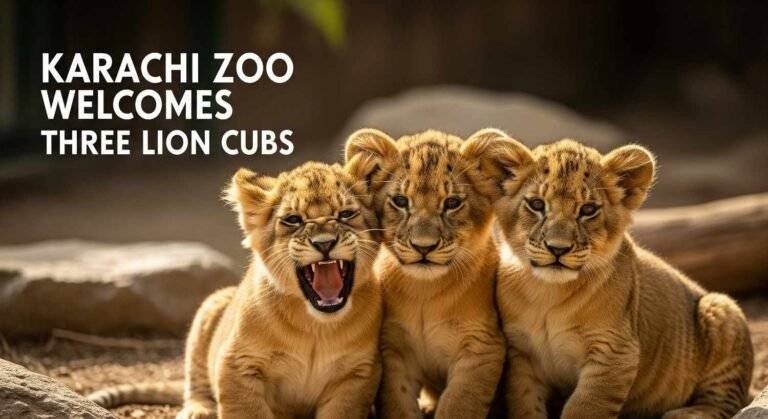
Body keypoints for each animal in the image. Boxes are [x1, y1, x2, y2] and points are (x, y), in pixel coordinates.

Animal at [89, 161, 383, 418]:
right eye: (293, 219)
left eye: (346, 214)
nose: (324, 243)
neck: (316, 327)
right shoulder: (237, 364)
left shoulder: (357, 374)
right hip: (212, 305)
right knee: (195, 381)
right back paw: (197, 410)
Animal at [344, 128, 507, 418]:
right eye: (400, 201)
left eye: (452, 203)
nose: (423, 247)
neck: (424, 293)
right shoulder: (394, 350)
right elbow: (398, 405)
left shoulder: (482, 349)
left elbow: (458, 406)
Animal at [484, 136, 753, 418]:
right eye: (536, 204)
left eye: (588, 210)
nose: (558, 248)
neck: (547, 292)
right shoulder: (522, 355)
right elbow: (525, 405)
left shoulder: (615, 353)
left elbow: (583, 408)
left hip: (721, 309)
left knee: (727, 401)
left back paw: (687, 414)